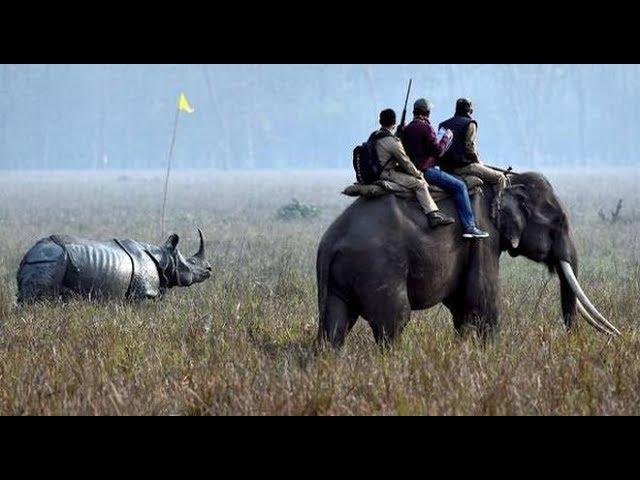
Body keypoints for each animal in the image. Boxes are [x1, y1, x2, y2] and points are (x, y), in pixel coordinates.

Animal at [16, 227, 211, 302]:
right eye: (192, 262)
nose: (209, 269)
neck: (165, 258)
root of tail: (29, 254)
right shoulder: (141, 294)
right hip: (51, 263)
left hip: (44, 261)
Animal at [316, 171, 620, 346]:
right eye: (558, 222)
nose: (572, 341)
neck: (504, 182)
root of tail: (328, 245)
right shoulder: (482, 235)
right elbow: (481, 297)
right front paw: (493, 354)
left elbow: (461, 306)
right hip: (377, 268)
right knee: (393, 321)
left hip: (340, 279)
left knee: (335, 324)